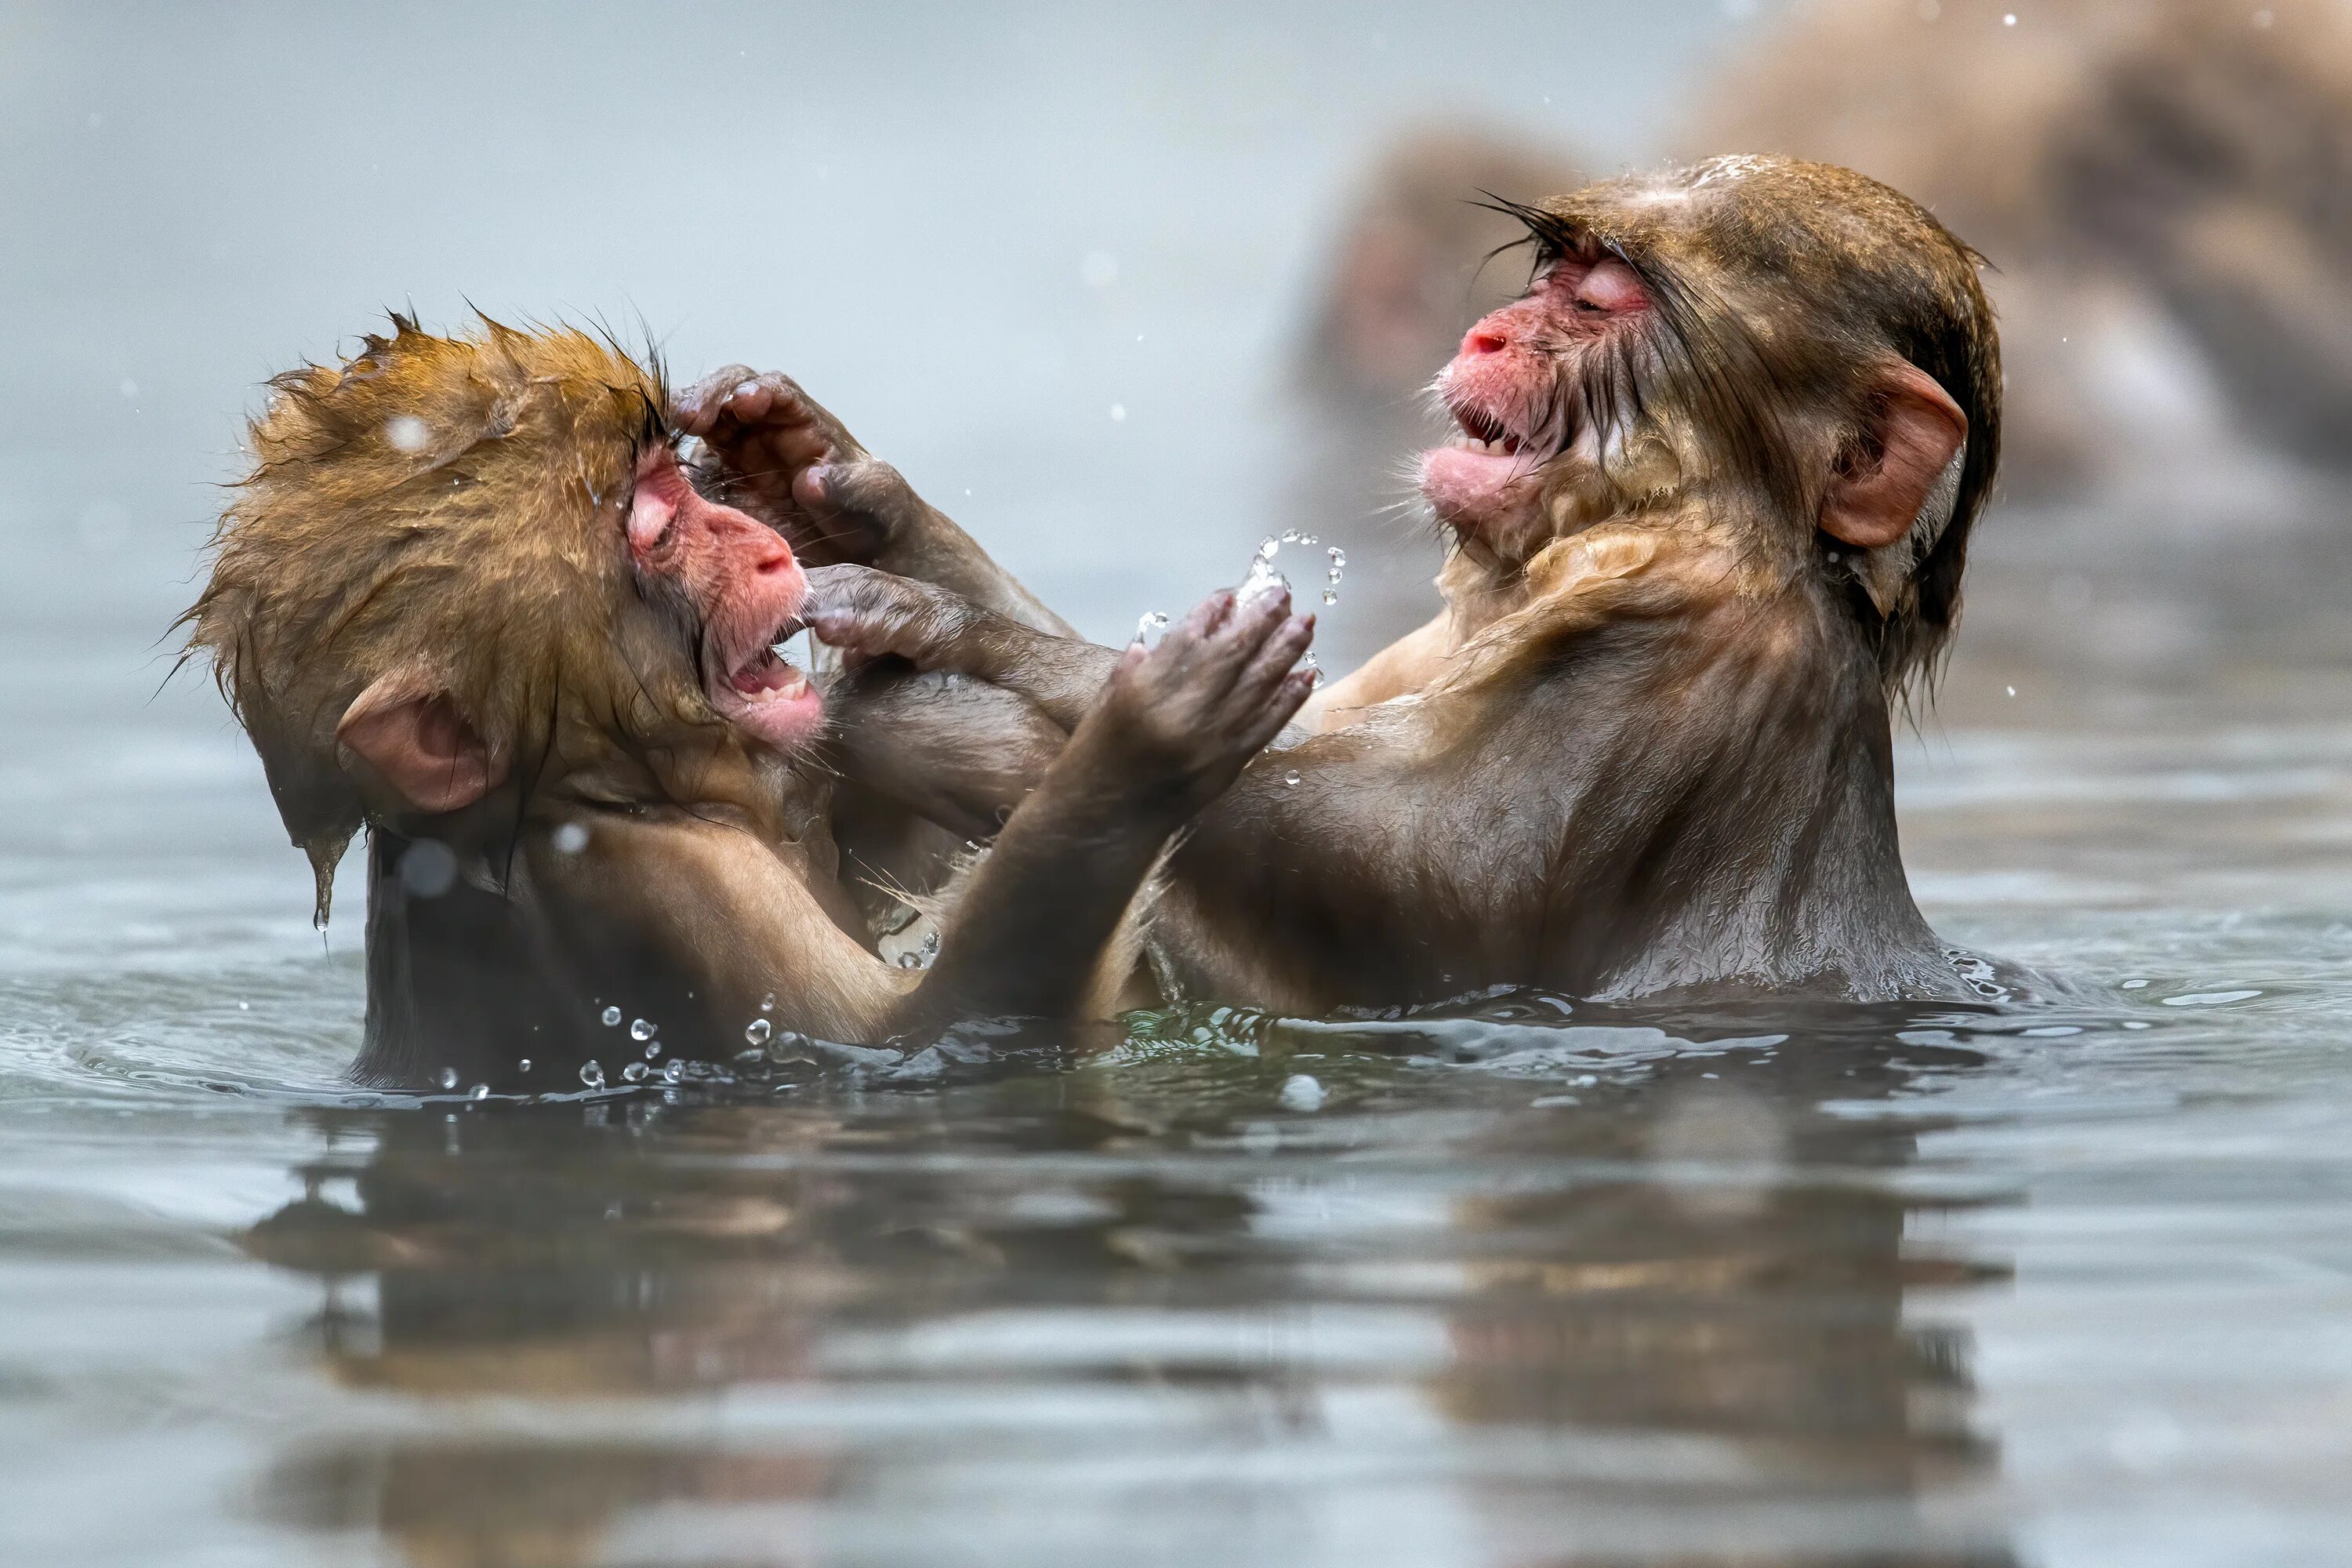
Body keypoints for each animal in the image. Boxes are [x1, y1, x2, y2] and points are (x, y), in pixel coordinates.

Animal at [186, 319, 1317, 1091]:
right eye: (654, 533)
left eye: (678, 485)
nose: (764, 547)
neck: (615, 796)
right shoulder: (671, 888)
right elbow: (923, 1037)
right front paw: (1153, 738)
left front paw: (810, 460)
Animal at [720, 159, 2004, 1011]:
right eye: (1557, 272)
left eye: (1601, 303)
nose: (1490, 335)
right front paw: (832, 483)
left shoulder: (1705, 650)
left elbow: (1440, 886)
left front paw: (973, 699)